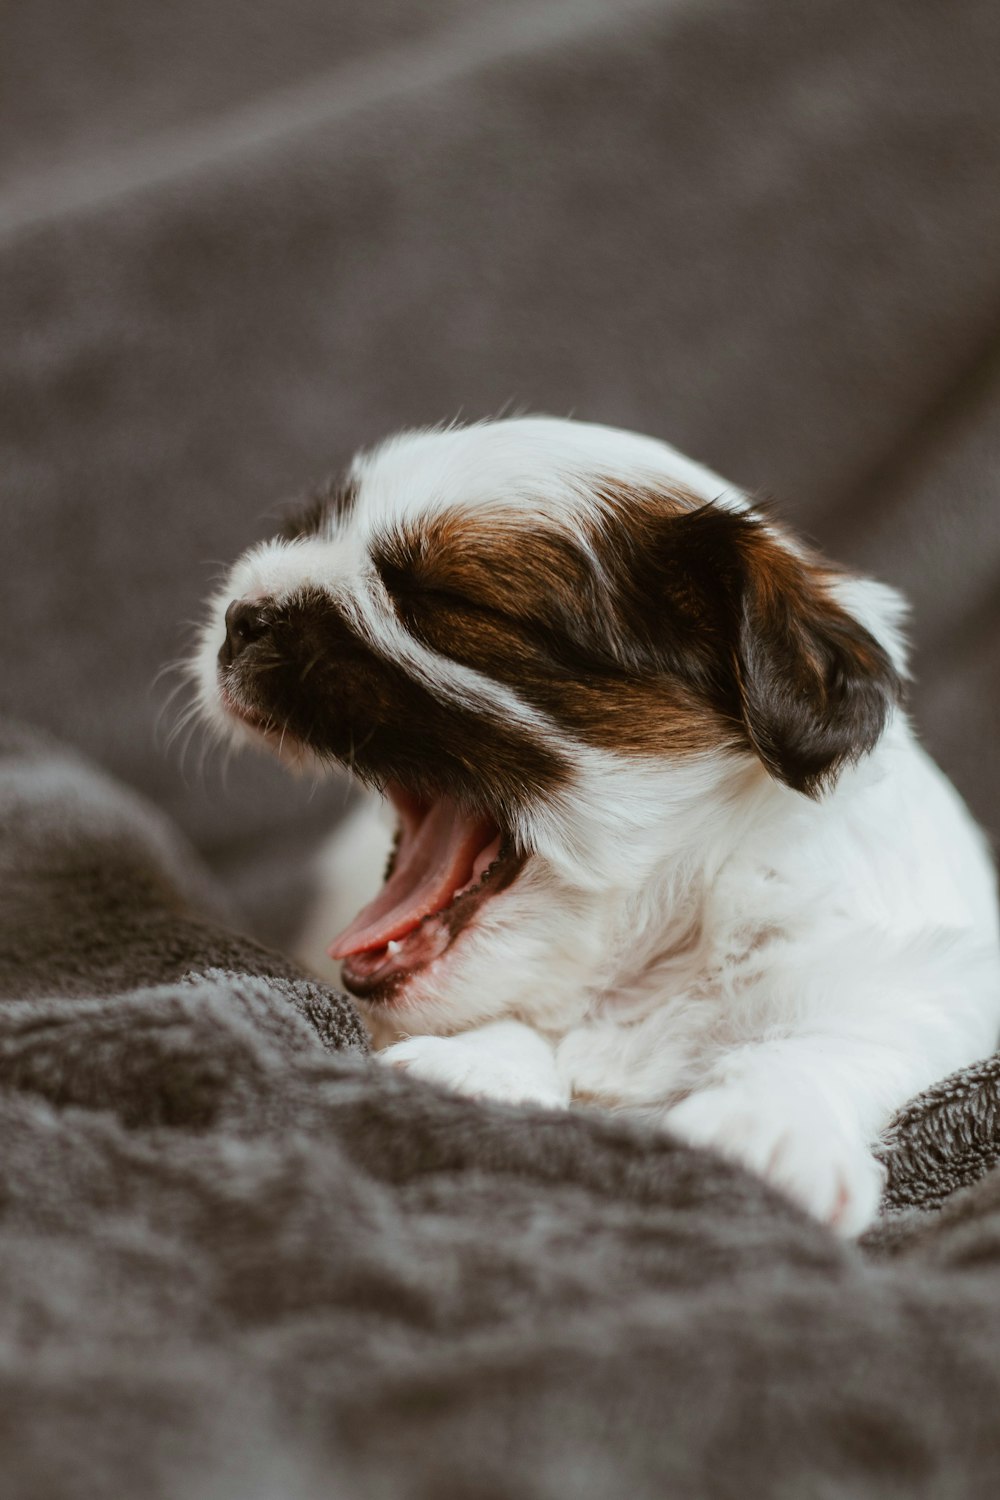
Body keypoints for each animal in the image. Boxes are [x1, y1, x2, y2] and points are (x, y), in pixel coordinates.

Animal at [193, 420, 1000, 1230]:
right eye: (311, 528)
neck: (640, 967)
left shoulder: (921, 976)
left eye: (444, 599)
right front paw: (474, 1062)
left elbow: (848, 1030)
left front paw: (764, 1127)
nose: (242, 617)